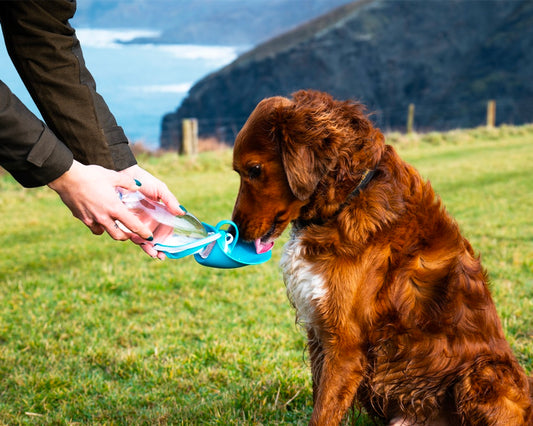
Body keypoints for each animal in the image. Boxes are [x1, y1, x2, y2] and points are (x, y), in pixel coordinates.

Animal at [232, 90, 532, 426]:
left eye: (254, 170)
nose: (233, 232)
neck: (347, 197)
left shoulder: (345, 344)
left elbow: (322, 413)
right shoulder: (319, 333)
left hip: (482, 372)